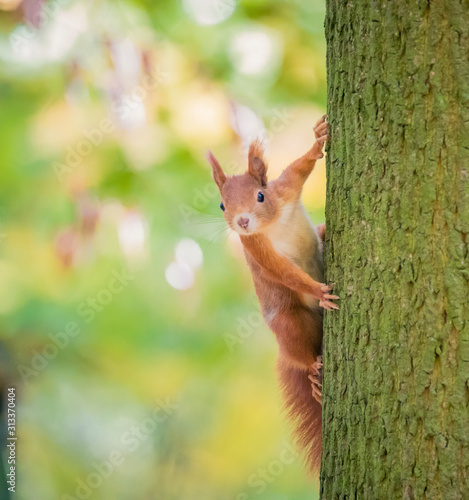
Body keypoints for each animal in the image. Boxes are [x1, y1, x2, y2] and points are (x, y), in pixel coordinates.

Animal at [205, 116, 336, 472]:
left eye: (261, 195)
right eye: (222, 204)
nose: (242, 220)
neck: (273, 224)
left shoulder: (285, 190)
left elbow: (298, 169)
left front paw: (317, 140)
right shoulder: (257, 248)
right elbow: (284, 273)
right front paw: (317, 290)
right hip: (290, 323)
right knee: (302, 353)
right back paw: (314, 373)